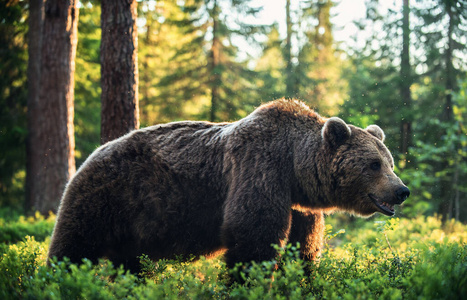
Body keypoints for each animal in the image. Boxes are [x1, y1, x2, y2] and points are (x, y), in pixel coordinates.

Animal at [47, 99, 410, 274]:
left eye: (390, 162)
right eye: (373, 164)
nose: (401, 191)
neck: (294, 170)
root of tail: (91, 155)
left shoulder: (300, 208)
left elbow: (303, 249)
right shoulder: (259, 172)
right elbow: (253, 240)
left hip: (132, 228)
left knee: (130, 265)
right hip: (106, 196)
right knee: (72, 247)